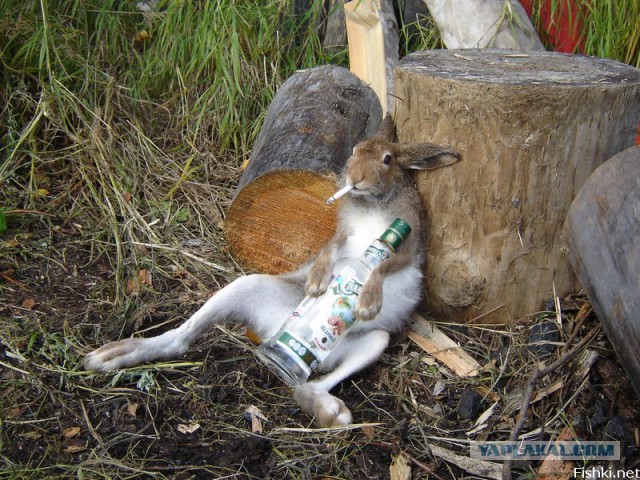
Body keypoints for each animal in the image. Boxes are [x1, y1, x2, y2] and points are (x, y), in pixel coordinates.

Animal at [84, 115, 459, 427]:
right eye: (354, 150)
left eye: (387, 159)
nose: (354, 178)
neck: (373, 203)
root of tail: (275, 332)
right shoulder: (343, 234)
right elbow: (330, 249)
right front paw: (318, 281)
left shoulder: (406, 245)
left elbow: (382, 266)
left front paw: (367, 301)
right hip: (247, 288)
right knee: (180, 338)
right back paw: (112, 356)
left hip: (369, 342)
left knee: (306, 386)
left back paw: (327, 410)